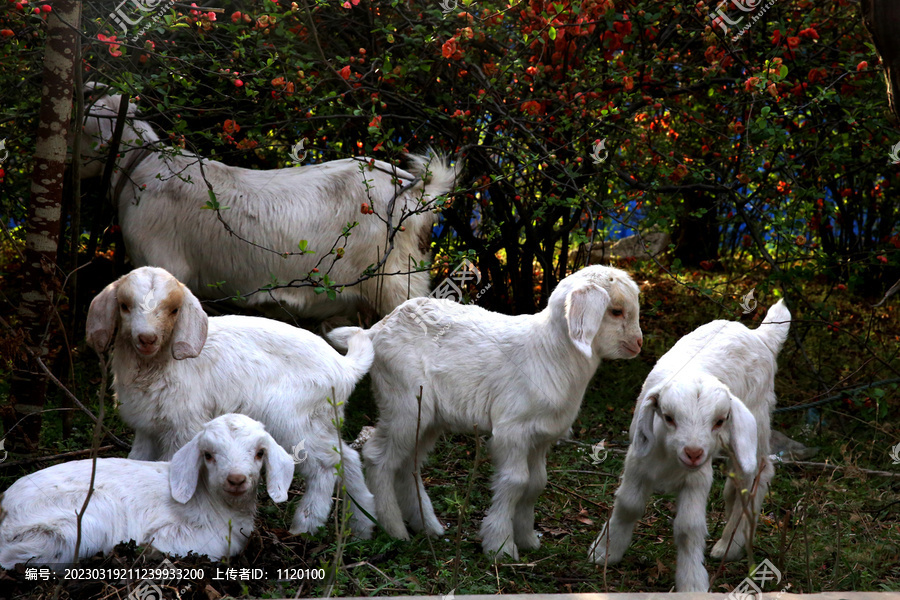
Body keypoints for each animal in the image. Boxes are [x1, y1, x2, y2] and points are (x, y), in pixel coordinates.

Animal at [0, 412, 292, 568]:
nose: (236, 479)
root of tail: (5, 505)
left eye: (260, 453)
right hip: (74, 523)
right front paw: (148, 549)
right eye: (208, 455)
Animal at [84, 264, 376, 536]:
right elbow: (138, 459)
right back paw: (363, 526)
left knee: (326, 465)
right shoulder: (147, 428)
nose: (147, 339)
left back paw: (305, 524)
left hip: (295, 422)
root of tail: (345, 367)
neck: (157, 366)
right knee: (348, 457)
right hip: (323, 420)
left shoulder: (183, 427)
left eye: (174, 310)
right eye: (124, 306)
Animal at [326, 264, 644, 560]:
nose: (638, 344)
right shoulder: (512, 430)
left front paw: (528, 539)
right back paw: (393, 529)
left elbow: (536, 484)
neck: (550, 353)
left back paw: (427, 526)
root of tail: (374, 330)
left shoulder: (540, 437)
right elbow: (516, 482)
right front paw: (501, 547)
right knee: (378, 457)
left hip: (427, 419)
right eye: (616, 311)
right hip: (402, 401)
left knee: (407, 464)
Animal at [592, 300, 788, 592]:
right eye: (668, 417)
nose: (693, 453)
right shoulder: (638, 460)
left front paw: (692, 582)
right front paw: (605, 552)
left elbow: (688, 528)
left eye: (719, 420)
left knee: (758, 476)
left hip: (757, 423)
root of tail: (759, 335)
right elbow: (628, 505)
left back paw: (729, 546)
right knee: (736, 485)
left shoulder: (697, 477)